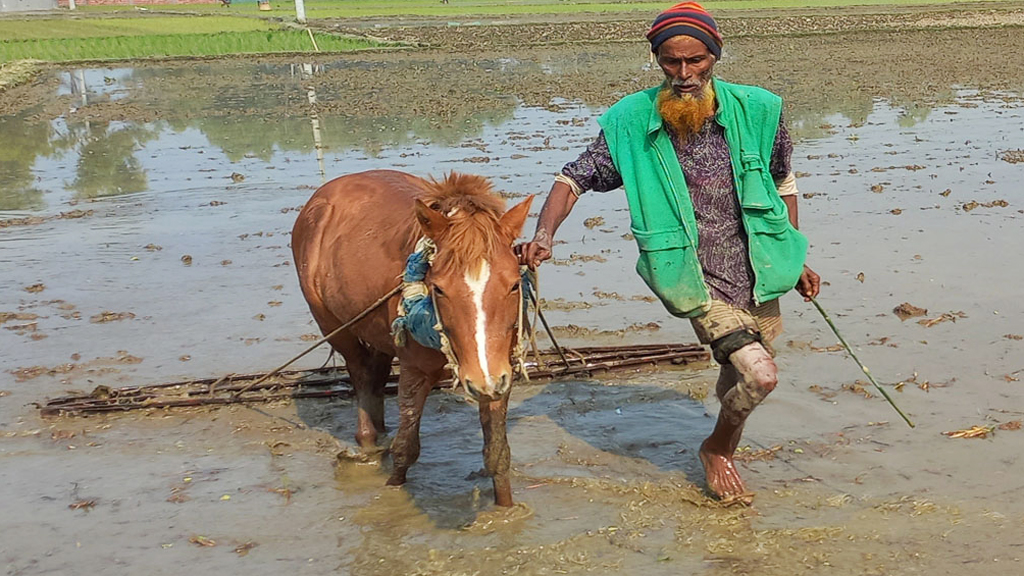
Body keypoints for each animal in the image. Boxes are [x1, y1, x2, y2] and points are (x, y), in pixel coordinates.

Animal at [288, 168, 528, 504]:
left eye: (514, 284)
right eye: (439, 288)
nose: (482, 380)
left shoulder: (499, 371)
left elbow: (497, 455)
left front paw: (506, 509)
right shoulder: (416, 370)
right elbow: (406, 449)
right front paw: (392, 494)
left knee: (375, 374)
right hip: (333, 326)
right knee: (361, 374)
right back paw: (368, 439)